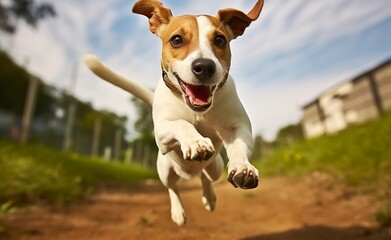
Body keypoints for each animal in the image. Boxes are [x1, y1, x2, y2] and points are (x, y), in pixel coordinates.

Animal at [84, 0, 264, 225]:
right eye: (177, 40)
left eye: (220, 40)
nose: (204, 66)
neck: (197, 111)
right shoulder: (161, 132)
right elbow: (181, 123)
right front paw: (196, 142)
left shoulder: (237, 128)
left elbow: (239, 147)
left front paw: (243, 168)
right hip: (164, 171)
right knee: (172, 188)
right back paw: (178, 212)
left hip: (216, 167)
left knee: (206, 177)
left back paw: (209, 197)